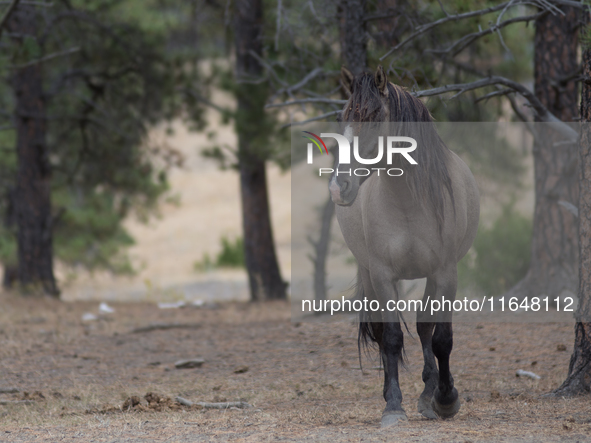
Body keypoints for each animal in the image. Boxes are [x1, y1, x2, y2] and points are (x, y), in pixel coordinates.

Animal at [330, 67, 478, 430]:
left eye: (373, 116)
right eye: (342, 117)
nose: (339, 187)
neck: (410, 201)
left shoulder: (445, 272)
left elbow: (440, 337)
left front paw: (446, 398)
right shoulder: (383, 275)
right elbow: (392, 337)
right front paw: (394, 407)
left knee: (425, 327)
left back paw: (429, 394)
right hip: (370, 273)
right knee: (383, 332)